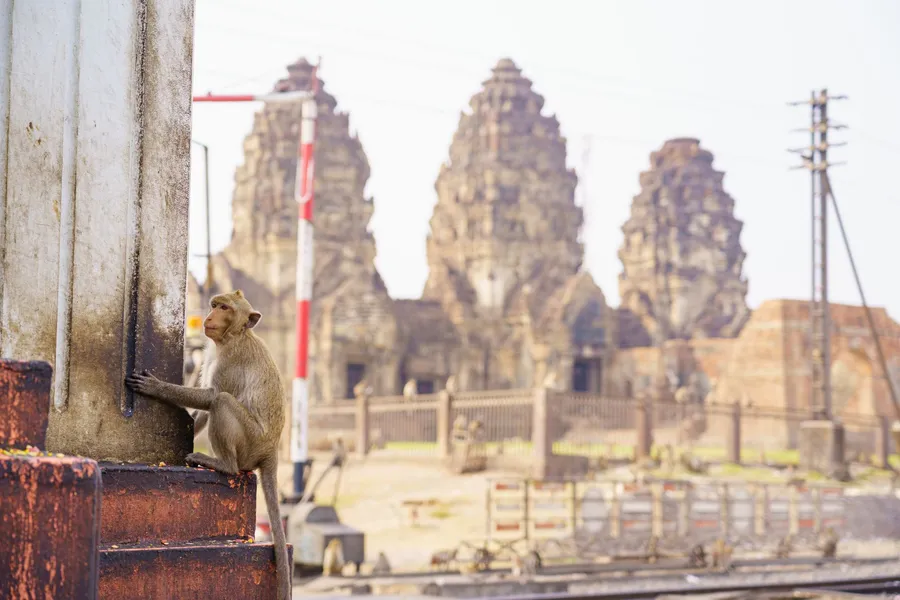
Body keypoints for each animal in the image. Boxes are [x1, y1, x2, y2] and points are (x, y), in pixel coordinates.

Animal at [125, 290, 290, 600]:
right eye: (215, 305)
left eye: (225, 308)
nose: (210, 317)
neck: (233, 336)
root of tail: (271, 449)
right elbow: (203, 408)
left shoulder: (231, 361)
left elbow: (211, 396)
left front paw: (157, 388)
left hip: (250, 442)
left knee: (222, 402)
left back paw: (222, 464)